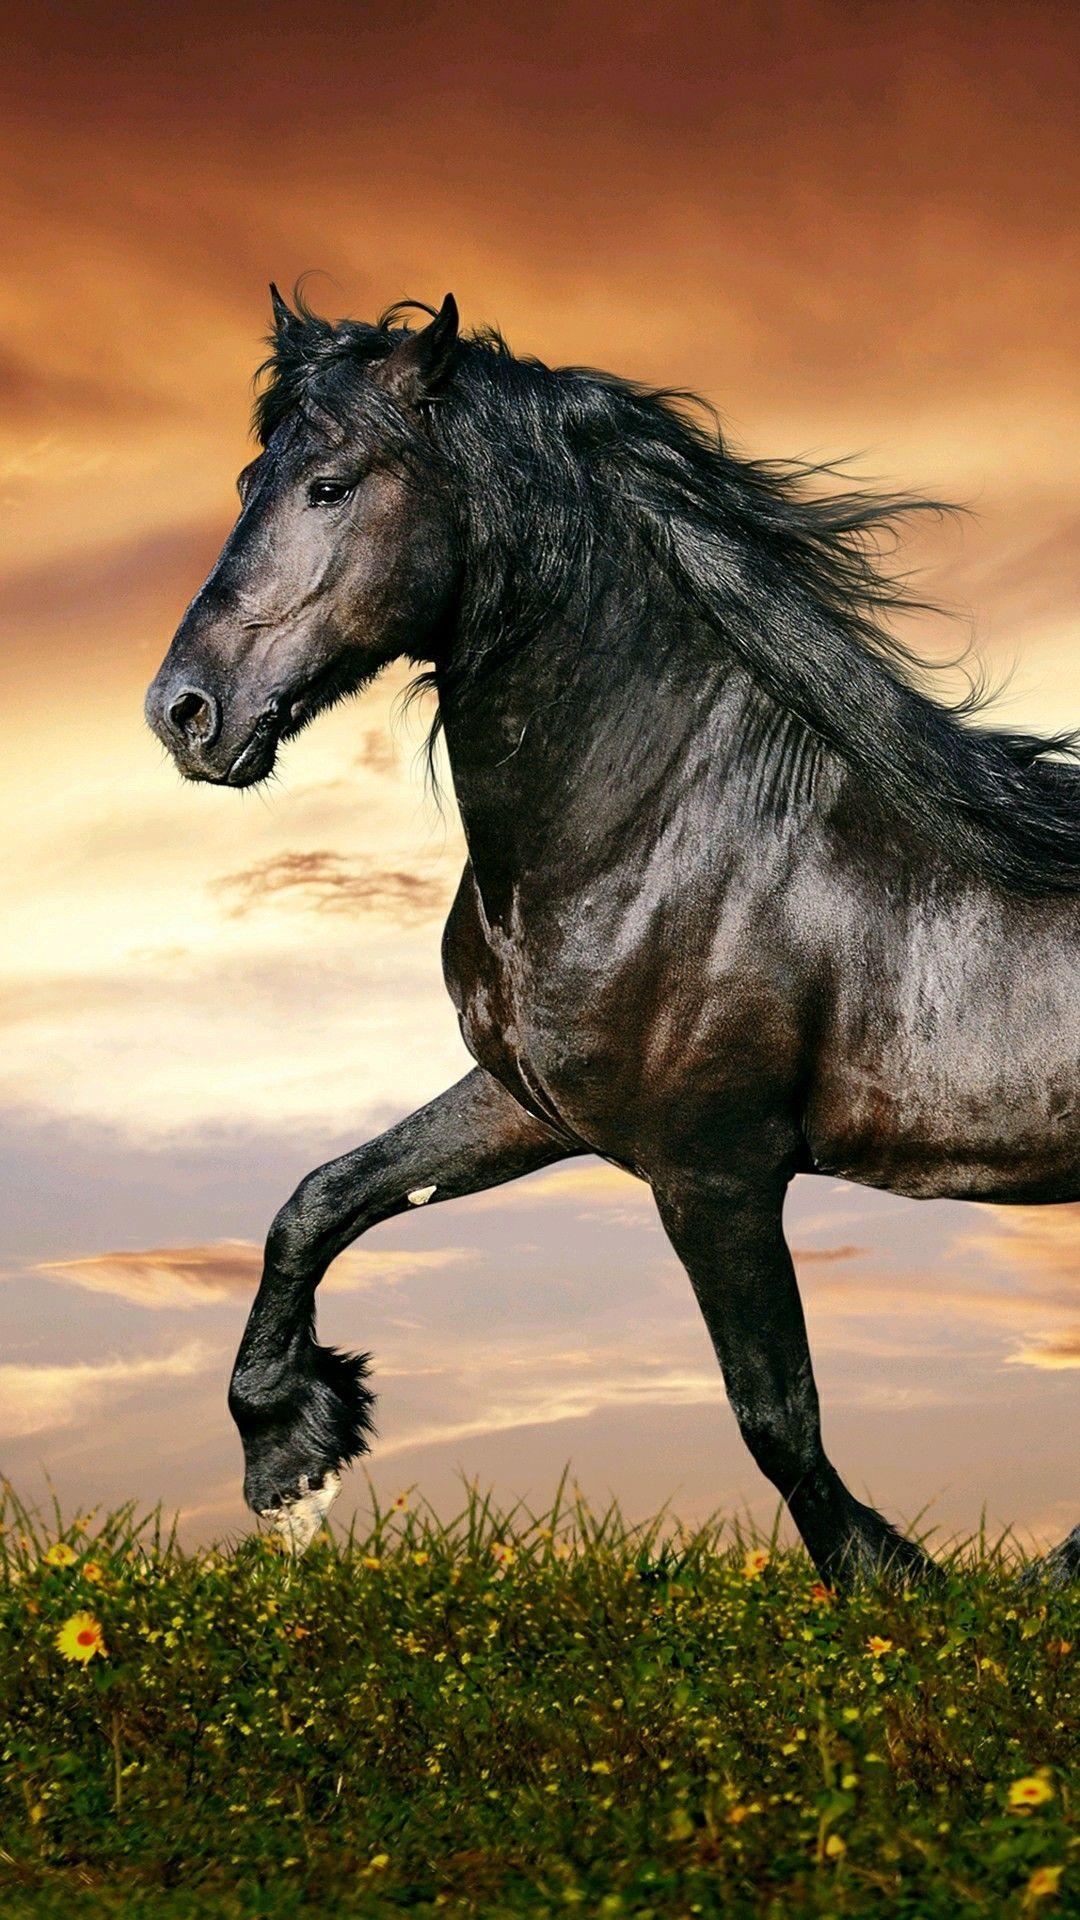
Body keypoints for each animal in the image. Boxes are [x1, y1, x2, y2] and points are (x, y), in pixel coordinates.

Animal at [146, 286, 1079, 1585]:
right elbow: (320, 1200)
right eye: (247, 480)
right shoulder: (530, 1103)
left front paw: (894, 1579)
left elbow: (775, 1414)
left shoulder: (715, 1172)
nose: (184, 712)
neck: (667, 829)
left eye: (328, 485)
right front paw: (291, 1458)